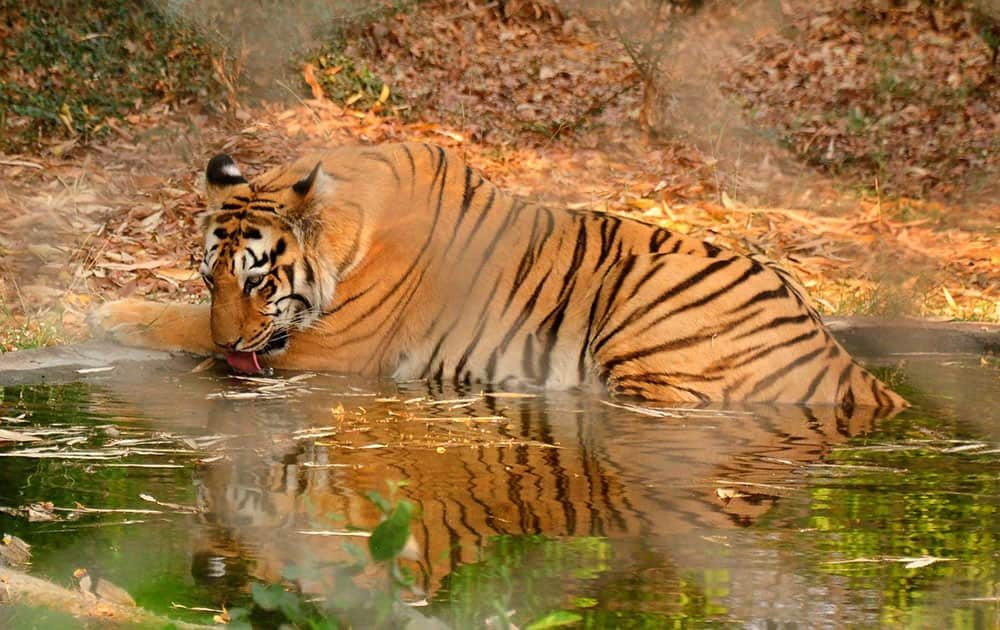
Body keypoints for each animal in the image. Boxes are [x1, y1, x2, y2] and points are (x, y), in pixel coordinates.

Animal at [90, 141, 912, 412]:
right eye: (211, 280)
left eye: (260, 282)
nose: (235, 347)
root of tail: (848, 365)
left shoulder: (328, 352)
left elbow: (177, 327)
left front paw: (112, 316)